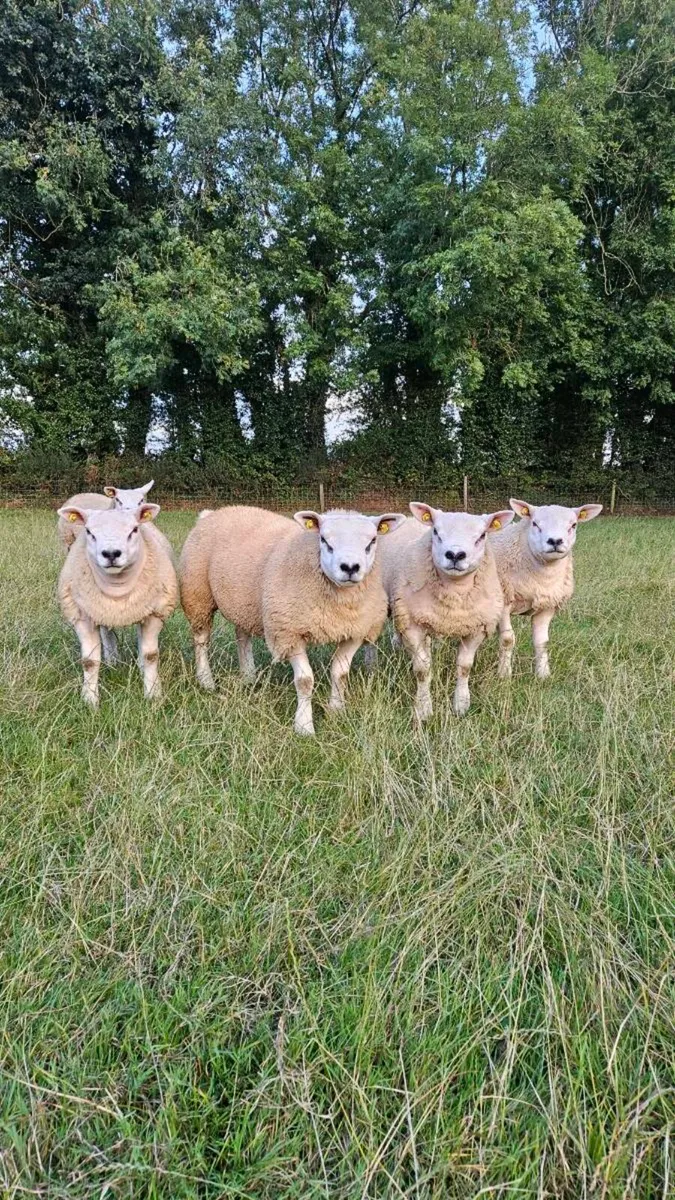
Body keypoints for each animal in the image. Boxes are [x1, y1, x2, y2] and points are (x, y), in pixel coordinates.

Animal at [56, 501, 178, 707]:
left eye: (134, 530)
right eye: (89, 531)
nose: (111, 553)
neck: (117, 588)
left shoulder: (154, 613)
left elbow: (151, 655)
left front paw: (153, 694)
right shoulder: (82, 615)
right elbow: (89, 661)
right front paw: (90, 700)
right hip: (101, 610)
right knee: (107, 633)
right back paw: (112, 662)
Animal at [179, 505, 405, 735]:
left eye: (372, 541)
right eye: (324, 540)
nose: (350, 567)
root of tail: (215, 512)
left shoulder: (355, 631)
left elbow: (340, 674)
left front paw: (337, 711)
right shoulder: (289, 632)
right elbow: (305, 680)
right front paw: (304, 726)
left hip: (243, 602)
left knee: (242, 635)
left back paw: (248, 675)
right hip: (197, 594)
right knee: (201, 640)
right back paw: (206, 680)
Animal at [378, 503, 515, 720]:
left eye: (482, 535)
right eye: (436, 531)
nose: (455, 555)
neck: (455, 591)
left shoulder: (476, 627)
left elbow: (464, 667)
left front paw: (461, 704)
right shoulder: (412, 624)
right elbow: (422, 669)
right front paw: (423, 709)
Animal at [491, 498, 603, 680]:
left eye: (573, 525)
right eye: (535, 523)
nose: (555, 541)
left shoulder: (547, 606)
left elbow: (542, 642)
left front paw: (543, 674)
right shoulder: (504, 601)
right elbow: (507, 639)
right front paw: (504, 675)